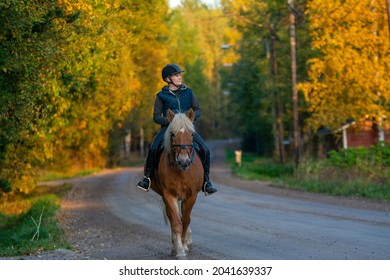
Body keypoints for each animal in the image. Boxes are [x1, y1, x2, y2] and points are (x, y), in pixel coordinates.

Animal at [150, 108, 204, 260]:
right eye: (172, 134)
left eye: (191, 134)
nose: (183, 161)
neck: (181, 171)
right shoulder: (168, 195)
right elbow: (176, 223)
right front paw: (179, 250)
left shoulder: (191, 196)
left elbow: (185, 220)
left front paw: (185, 245)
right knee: (172, 217)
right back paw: (175, 246)